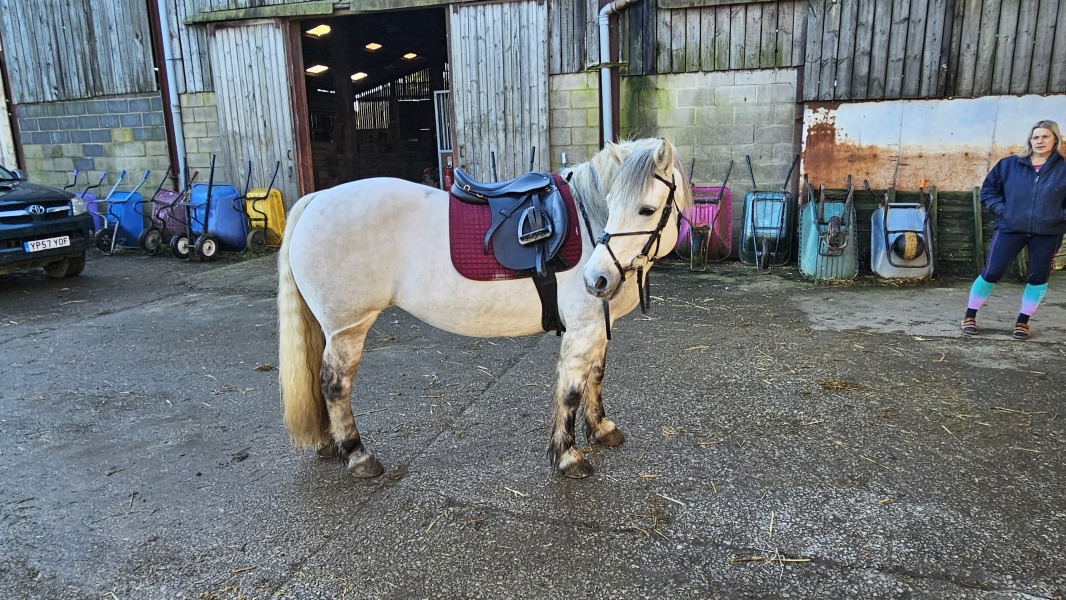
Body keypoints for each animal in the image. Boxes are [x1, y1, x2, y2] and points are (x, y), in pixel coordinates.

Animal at [277, 137, 692, 478]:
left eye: (646, 209)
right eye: (613, 205)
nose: (597, 279)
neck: (586, 221)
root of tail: (317, 199)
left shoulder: (598, 328)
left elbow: (596, 376)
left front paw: (602, 429)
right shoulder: (582, 329)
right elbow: (572, 390)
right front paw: (568, 455)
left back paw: (331, 444)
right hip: (348, 328)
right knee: (334, 384)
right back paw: (358, 455)